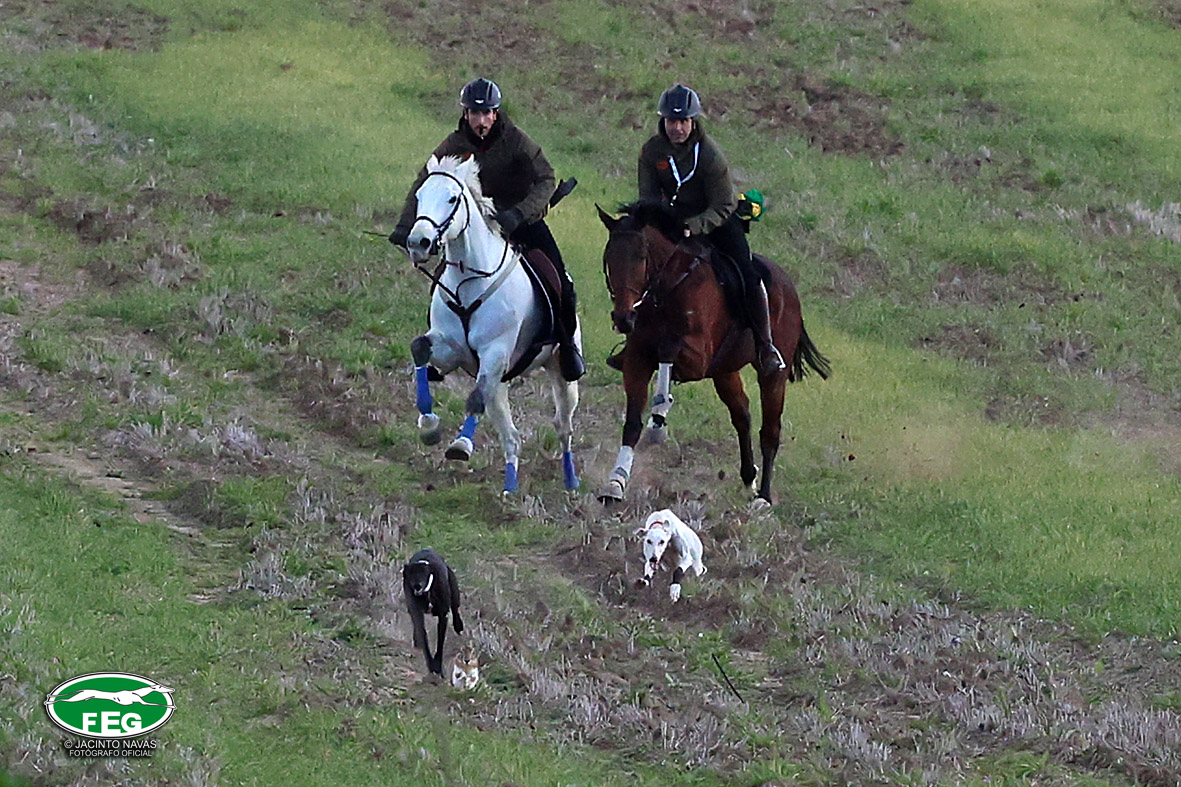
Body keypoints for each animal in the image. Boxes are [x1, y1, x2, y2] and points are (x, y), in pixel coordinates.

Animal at [402, 548, 464, 677]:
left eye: (423, 574)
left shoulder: (443, 615)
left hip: (454, 592)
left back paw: (458, 626)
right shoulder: (416, 613)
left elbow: (440, 644)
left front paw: (438, 667)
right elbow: (423, 637)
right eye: (411, 575)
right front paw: (431, 665)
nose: (417, 586)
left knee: (455, 608)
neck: (427, 593)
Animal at [596, 201, 829, 504]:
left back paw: (764, 497)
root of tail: (790, 288)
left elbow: (668, 350)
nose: (623, 319)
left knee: (770, 430)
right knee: (742, 415)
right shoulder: (637, 360)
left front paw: (659, 417)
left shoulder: (697, 360)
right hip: (725, 371)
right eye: (609, 258)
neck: (668, 287)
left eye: (641, 257)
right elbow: (632, 423)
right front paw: (616, 483)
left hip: (772, 375)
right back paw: (749, 477)